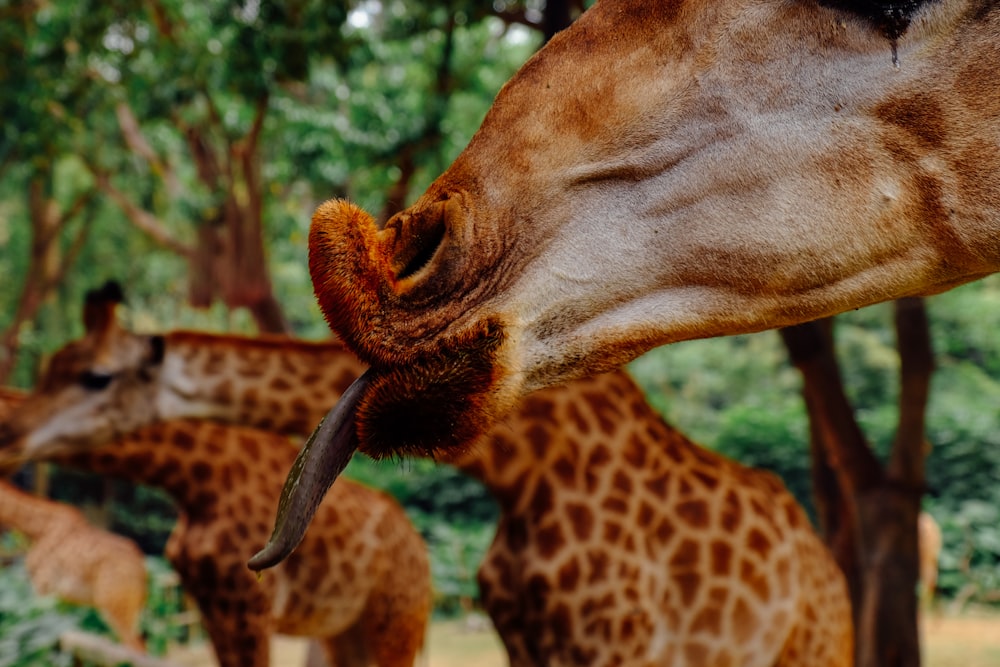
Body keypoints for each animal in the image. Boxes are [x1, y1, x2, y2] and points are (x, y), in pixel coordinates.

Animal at [1, 286, 852, 664]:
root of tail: (829, 570)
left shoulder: (617, 643)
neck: (527, 470)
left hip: (809, 649)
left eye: (95, 376)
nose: (11, 430)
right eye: (49, 366)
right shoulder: (529, 638)